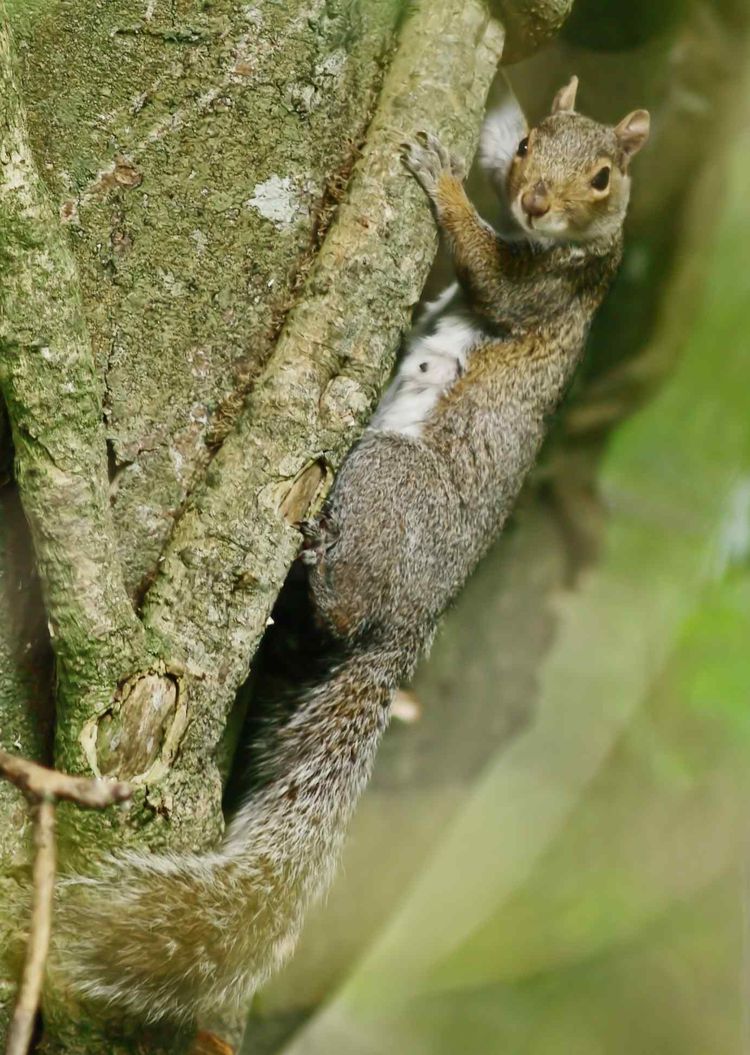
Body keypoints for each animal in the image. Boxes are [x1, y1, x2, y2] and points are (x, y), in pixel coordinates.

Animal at [52, 77, 649, 1027]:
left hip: (386, 479)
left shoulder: (547, 292)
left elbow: (489, 274)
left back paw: (317, 553)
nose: (534, 200)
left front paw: (441, 180)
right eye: (531, 149)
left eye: (602, 178)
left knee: (347, 597)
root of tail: (416, 617)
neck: (565, 247)